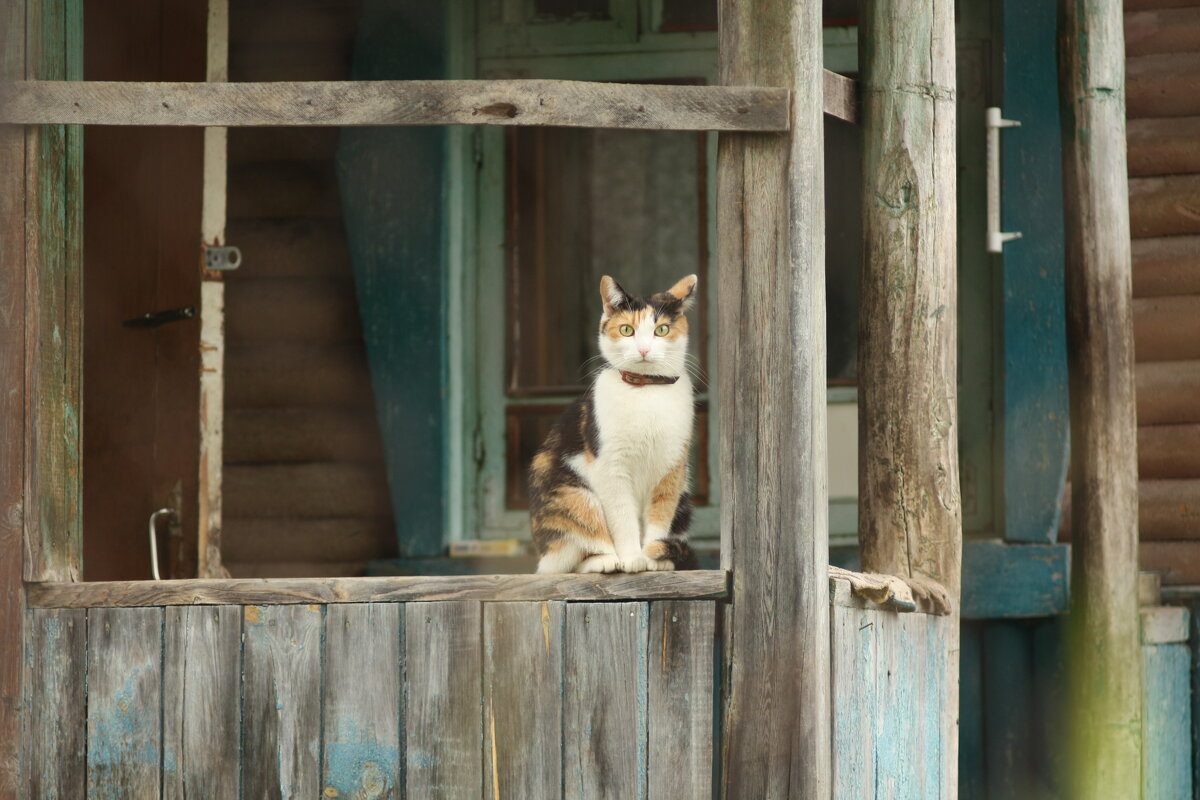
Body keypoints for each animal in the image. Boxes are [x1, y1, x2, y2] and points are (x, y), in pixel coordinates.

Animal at [530, 275, 700, 575]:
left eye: (662, 330)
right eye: (626, 330)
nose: (643, 349)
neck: (646, 390)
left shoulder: (672, 468)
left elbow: (660, 514)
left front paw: (653, 555)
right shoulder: (611, 467)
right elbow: (622, 516)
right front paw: (633, 558)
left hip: (684, 500)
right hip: (573, 497)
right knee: (569, 559)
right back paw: (606, 561)